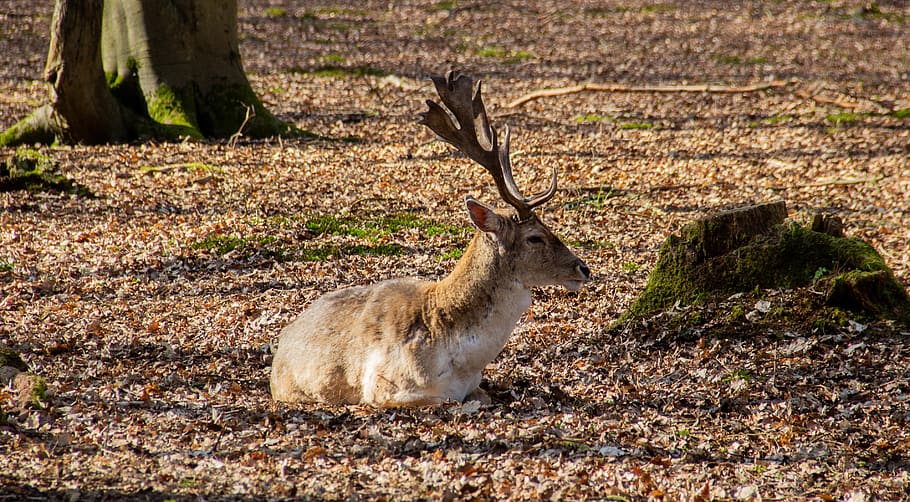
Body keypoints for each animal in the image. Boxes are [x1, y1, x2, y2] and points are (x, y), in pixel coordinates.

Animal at [270, 71, 591, 407]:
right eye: (534, 238)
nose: (583, 268)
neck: (460, 361)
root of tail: (281, 344)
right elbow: (454, 402)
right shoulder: (382, 388)